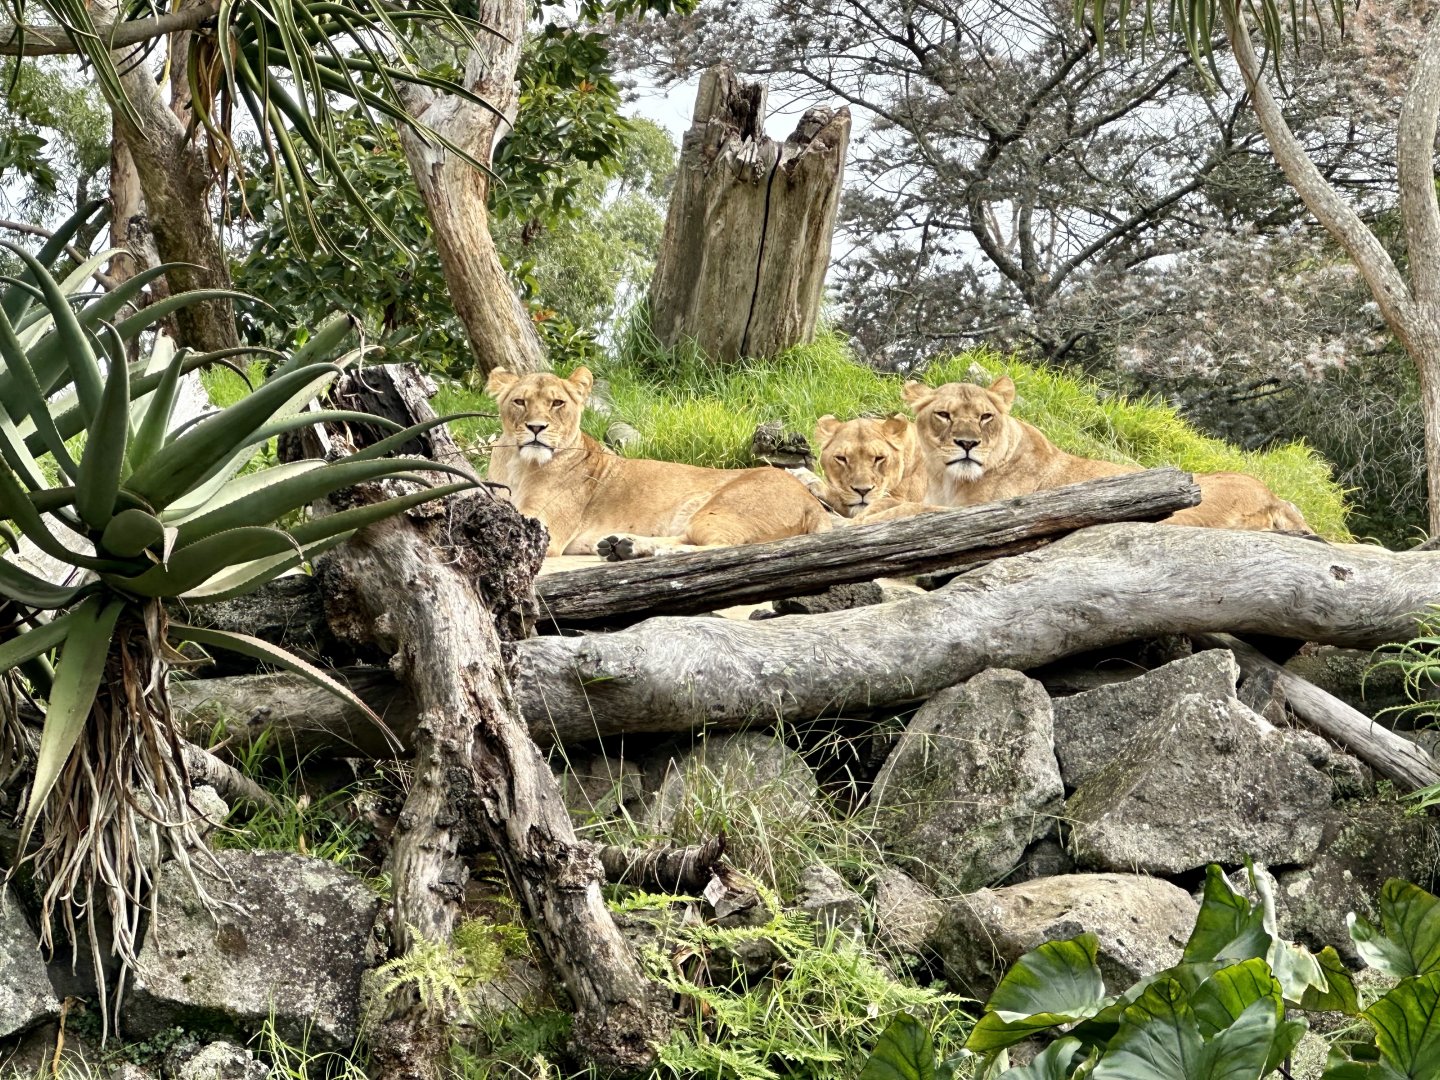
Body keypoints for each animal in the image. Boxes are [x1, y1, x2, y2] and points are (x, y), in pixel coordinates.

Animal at [486, 366, 832, 559]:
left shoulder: (544, 528)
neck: (517, 464)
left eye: (557, 403)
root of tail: (810, 500)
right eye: (519, 401)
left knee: (724, 547)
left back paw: (655, 552)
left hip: (719, 508)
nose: (536, 428)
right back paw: (623, 546)